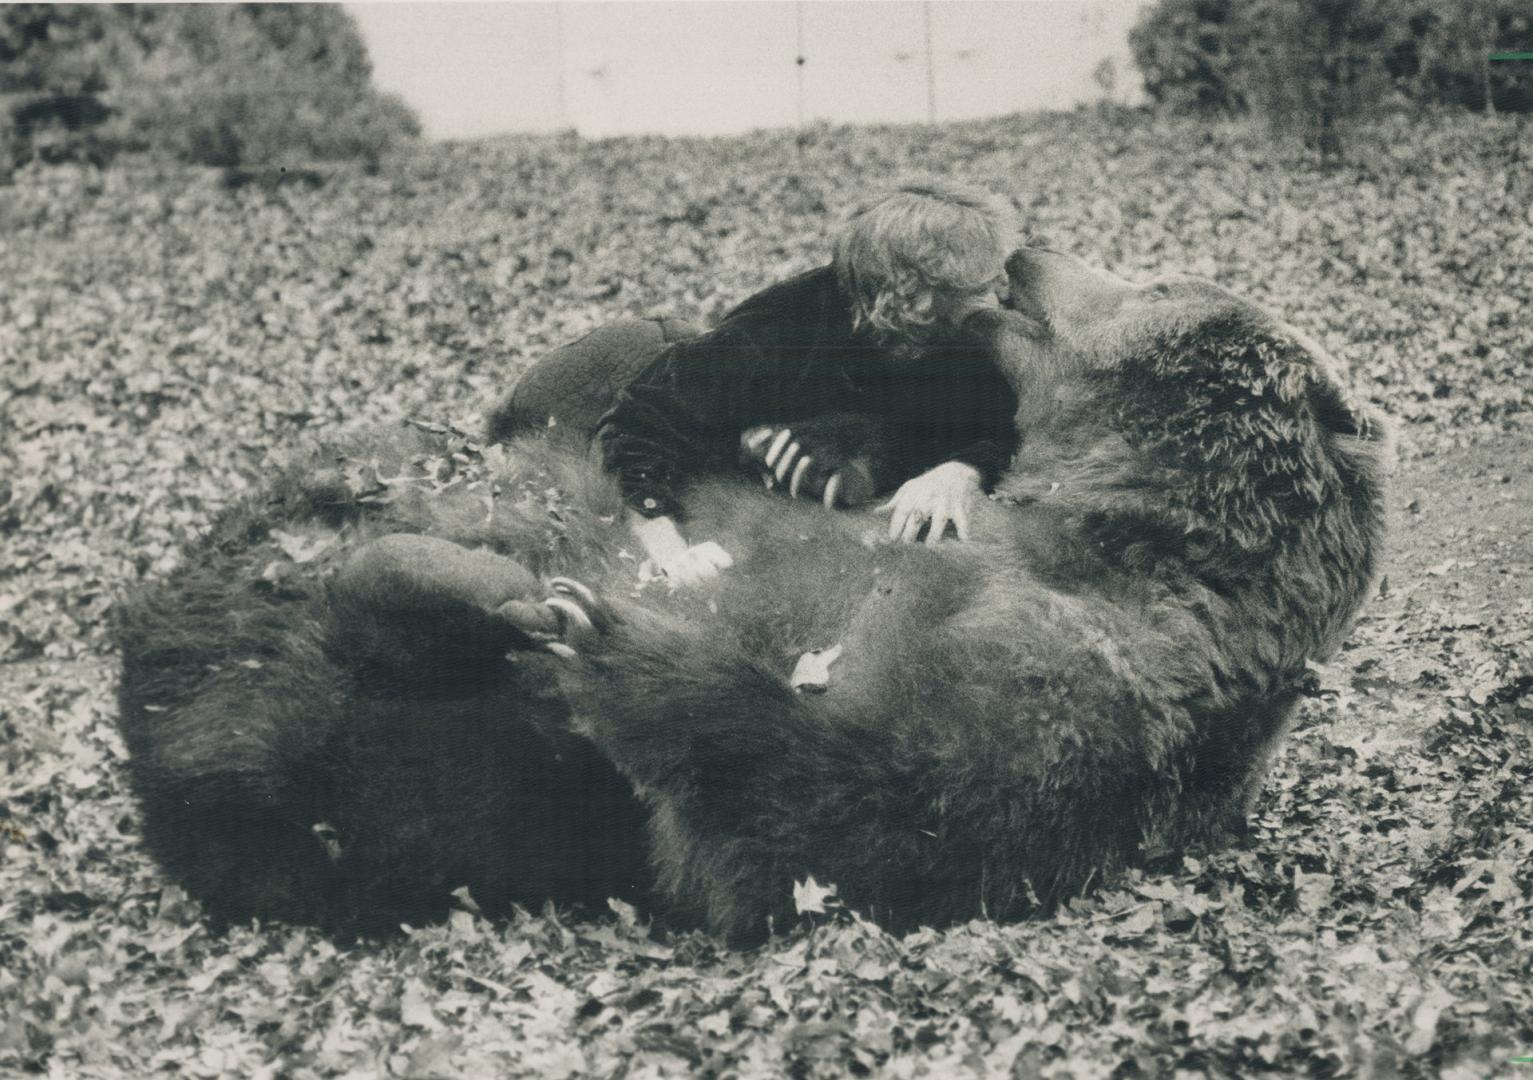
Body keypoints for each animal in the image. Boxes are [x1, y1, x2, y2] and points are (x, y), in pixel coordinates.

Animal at [116, 245, 1391, 937]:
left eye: (1155, 275)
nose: (1025, 257)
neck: (1114, 533)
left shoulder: (1090, 702)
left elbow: (821, 809)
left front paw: (613, 635)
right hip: (416, 494)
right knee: (581, 373)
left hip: (353, 778)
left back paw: (486, 593)